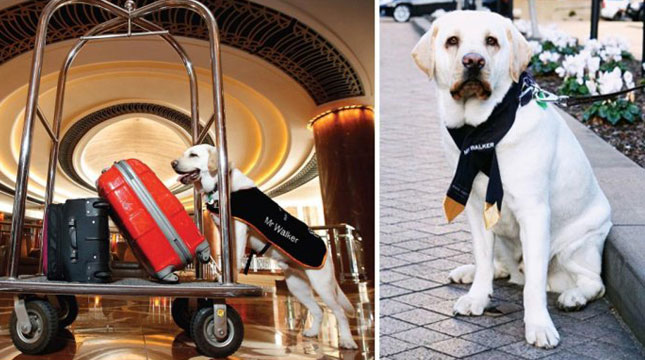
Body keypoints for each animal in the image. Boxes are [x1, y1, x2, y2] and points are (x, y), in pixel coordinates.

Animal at [171, 145, 360, 350]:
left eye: (193, 155)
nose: (173, 163)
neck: (217, 183)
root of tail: (327, 251)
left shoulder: (237, 228)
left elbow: (234, 255)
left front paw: (227, 278)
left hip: (322, 285)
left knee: (340, 312)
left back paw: (347, 341)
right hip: (297, 286)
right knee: (318, 310)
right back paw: (312, 333)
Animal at [410, 11, 612, 348]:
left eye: (491, 41)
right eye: (452, 41)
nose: (473, 61)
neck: (482, 130)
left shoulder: (534, 212)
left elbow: (534, 286)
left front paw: (539, 325)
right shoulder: (476, 208)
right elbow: (482, 257)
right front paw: (477, 297)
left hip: (577, 246)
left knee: (593, 283)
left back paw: (573, 297)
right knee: (498, 267)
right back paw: (474, 272)